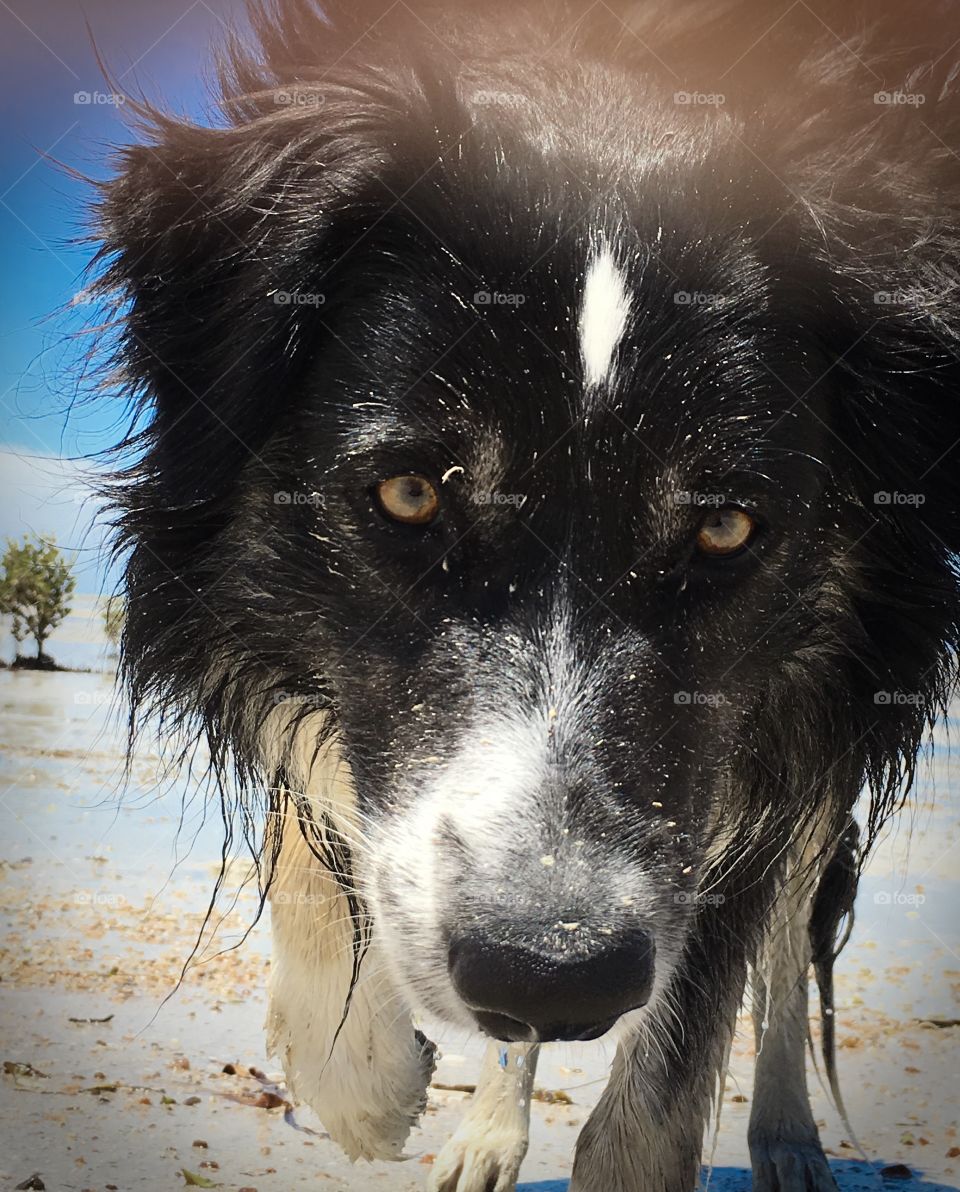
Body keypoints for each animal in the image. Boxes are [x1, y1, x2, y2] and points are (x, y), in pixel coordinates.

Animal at [90, 4, 958, 1187]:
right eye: (410, 494)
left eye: (726, 526)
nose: (554, 974)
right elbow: (313, 812)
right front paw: (370, 1085)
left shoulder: (773, 730)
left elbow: (663, 1090)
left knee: (789, 948)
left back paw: (783, 1133)